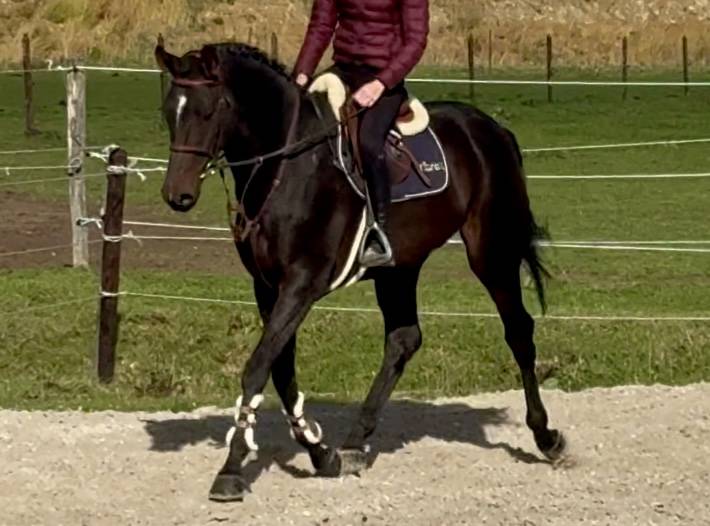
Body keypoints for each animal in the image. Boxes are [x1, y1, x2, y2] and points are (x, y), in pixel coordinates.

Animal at [155, 42, 566, 502]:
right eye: (169, 110)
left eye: (209, 111)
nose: (177, 195)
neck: (287, 167)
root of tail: (489, 128)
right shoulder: (267, 287)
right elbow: (281, 370)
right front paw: (321, 453)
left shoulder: (301, 284)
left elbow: (258, 367)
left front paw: (232, 467)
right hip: (400, 269)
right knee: (404, 340)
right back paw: (355, 442)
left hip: (491, 253)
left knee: (518, 331)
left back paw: (546, 437)